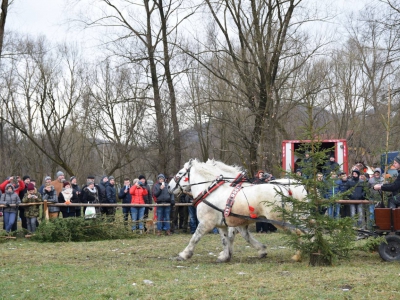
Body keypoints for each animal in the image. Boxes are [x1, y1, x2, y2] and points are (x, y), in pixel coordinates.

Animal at [169, 159, 306, 262]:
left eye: (180, 173)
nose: (169, 186)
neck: (210, 192)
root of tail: (284, 190)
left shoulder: (206, 224)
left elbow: (195, 238)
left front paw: (184, 254)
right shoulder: (225, 224)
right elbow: (226, 239)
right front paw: (225, 256)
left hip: (280, 219)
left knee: (298, 231)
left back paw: (298, 254)